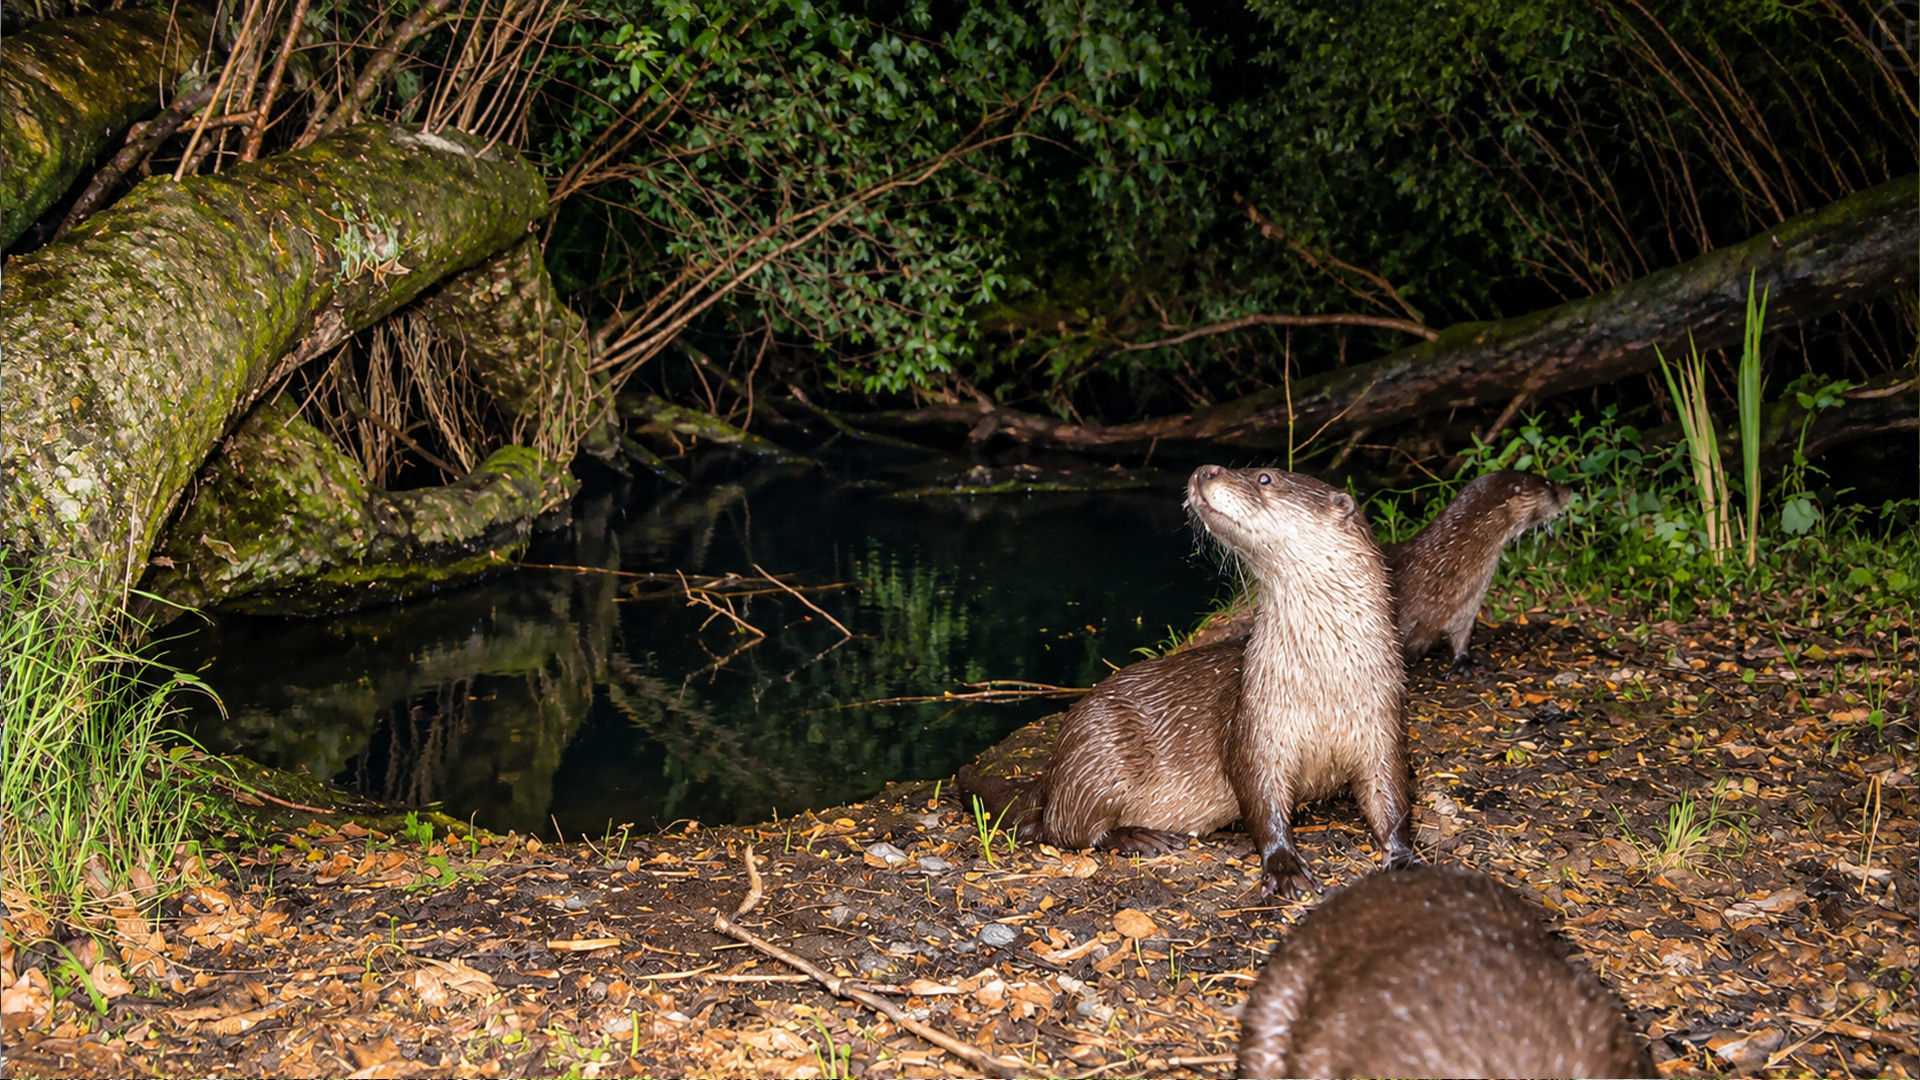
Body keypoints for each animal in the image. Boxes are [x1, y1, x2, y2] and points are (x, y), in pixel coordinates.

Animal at [958, 465, 1414, 897]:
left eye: (1265, 477)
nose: (1205, 470)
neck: (1324, 685)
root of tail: (1054, 767)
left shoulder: (1384, 723)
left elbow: (1392, 797)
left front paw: (1403, 855)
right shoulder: (1255, 726)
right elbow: (1261, 801)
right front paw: (1284, 866)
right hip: (1099, 753)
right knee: (1065, 828)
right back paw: (1140, 836)